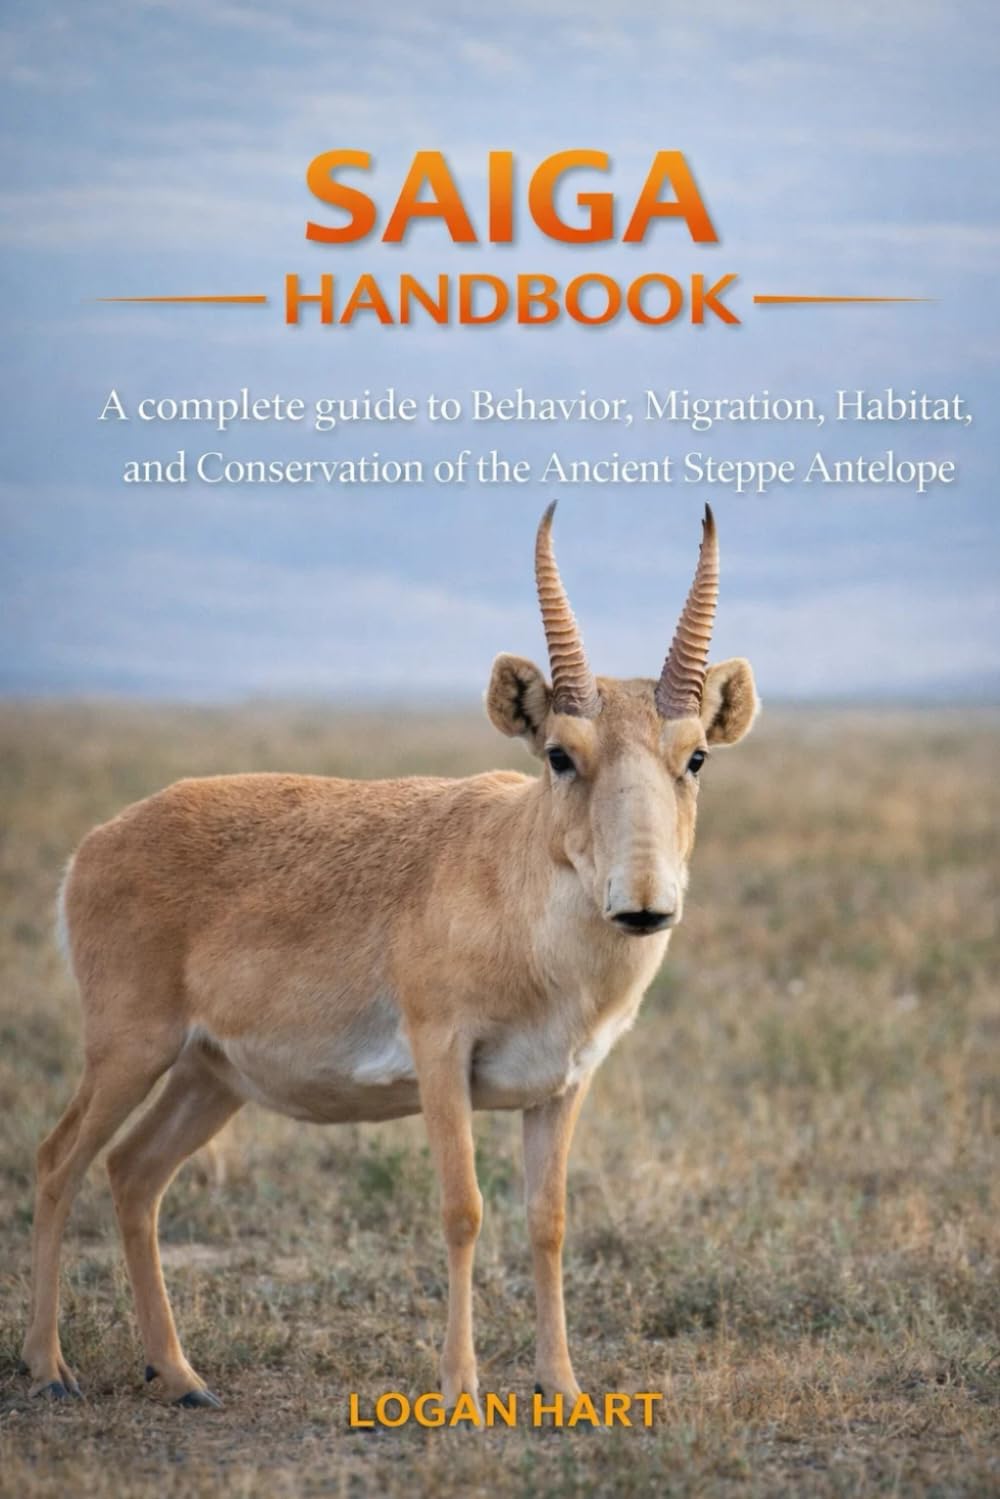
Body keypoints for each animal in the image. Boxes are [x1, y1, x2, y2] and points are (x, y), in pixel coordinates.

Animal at [22, 503, 758, 1411]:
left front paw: (564, 1386)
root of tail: (94, 845)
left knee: (133, 1171)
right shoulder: (443, 1057)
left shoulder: (563, 1085)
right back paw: (50, 1367)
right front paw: (461, 1387)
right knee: (59, 1160)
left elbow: (547, 1221)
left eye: (695, 755)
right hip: (129, 1049)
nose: (644, 903)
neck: (509, 879)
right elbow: (462, 1208)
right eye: (559, 752)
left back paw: (182, 1375)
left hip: (209, 1076)